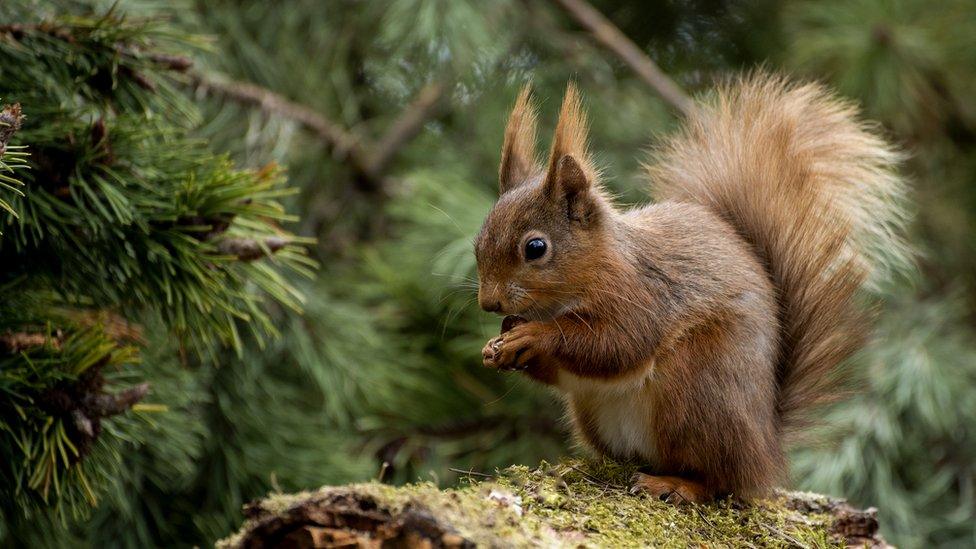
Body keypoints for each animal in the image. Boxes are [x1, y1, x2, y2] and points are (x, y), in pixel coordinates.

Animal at [472, 75, 908, 504]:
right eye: (478, 243)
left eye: (535, 248)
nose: (489, 303)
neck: (597, 266)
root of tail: (766, 447)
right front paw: (500, 344)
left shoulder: (642, 295)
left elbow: (616, 344)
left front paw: (533, 335)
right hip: (597, 413)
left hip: (697, 392)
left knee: (719, 479)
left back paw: (674, 484)